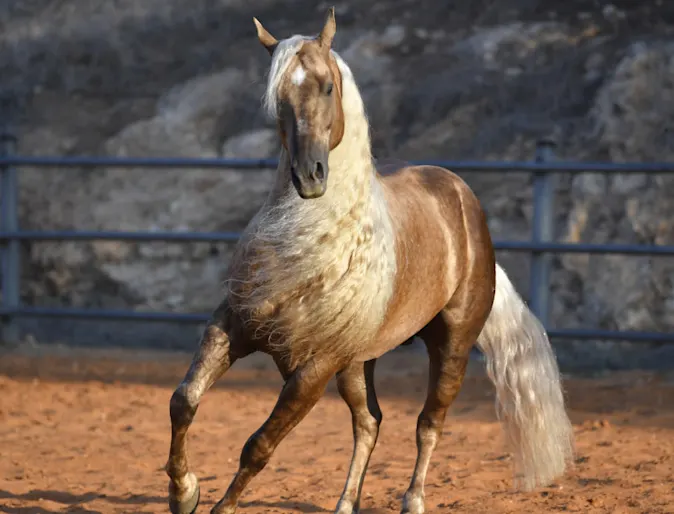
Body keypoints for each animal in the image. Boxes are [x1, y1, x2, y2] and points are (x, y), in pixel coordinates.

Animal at [165, 9, 574, 514]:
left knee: (427, 423)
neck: (315, 241)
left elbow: (258, 446)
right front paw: (184, 492)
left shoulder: (314, 368)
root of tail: (464, 202)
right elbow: (184, 400)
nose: (310, 176)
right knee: (370, 421)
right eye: (277, 95)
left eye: (327, 86)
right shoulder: (235, 327)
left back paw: (413, 499)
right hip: (360, 363)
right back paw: (346, 504)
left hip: (451, 347)